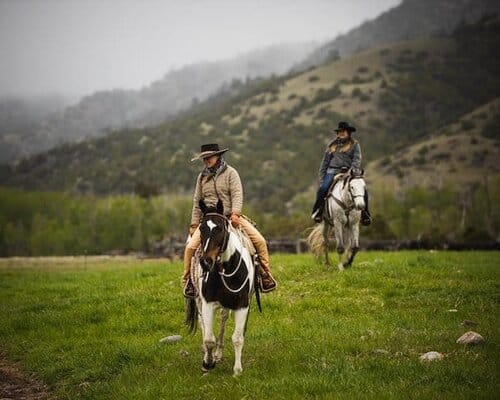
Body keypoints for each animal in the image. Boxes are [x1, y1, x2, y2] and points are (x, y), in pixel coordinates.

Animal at [184, 199, 256, 376]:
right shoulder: (208, 303)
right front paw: (207, 363)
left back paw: (218, 353)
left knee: (223, 318)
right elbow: (209, 339)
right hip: (199, 301)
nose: (205, 261)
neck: (226, 268)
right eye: (201, 229)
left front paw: (237, 370)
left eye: (221, 228)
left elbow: (237, 338)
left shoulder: (242, 305)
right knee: (203, 326)